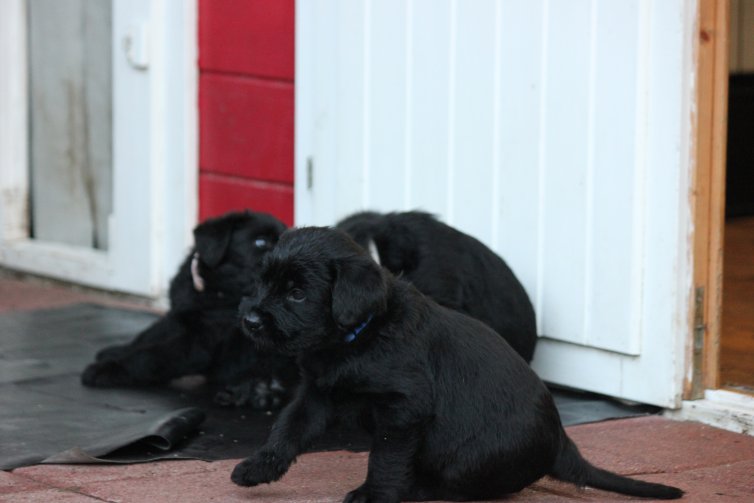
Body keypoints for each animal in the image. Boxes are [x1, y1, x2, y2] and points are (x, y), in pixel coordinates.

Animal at [81, 211, 296, 412]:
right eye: (260, 242)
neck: (215, 289)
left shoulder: (199, 343)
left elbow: (152, 355)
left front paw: (106, 369)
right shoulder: (179, 316)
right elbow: (149, 335)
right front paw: (116, 351)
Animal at [232, 228, 680, 503]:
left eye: (297, 294)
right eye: (265, 282)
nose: (249, 320)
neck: (357, 335)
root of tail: (561, 444)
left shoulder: (403, 408)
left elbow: (386, 458)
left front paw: (374, 495)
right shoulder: (318, 394)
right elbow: (287, 430)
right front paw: (258, 467)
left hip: (468, 459)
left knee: (462, 488)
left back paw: (416, 489)